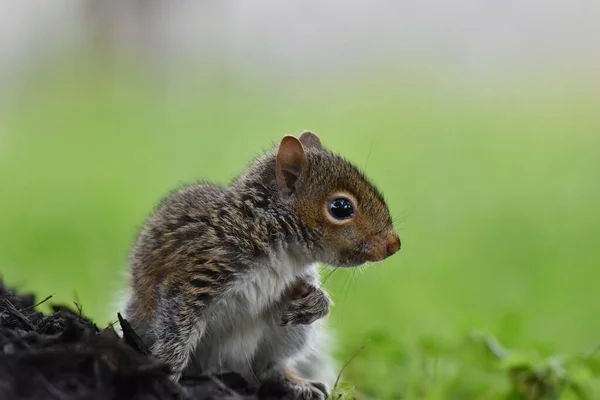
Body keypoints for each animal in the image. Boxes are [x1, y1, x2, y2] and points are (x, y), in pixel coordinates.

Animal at [119, 132, 400, 400]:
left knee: (268, 368)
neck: (283, 250)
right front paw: (166, 378)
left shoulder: (297, 277)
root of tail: (231, 367)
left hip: (289, 335)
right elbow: (176, 330)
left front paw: (316, 302)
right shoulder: (202, 270)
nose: (394, 245)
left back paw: (295, 384)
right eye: (341, 207)